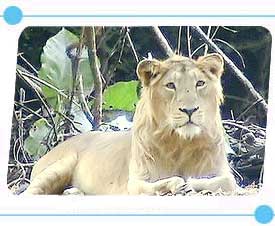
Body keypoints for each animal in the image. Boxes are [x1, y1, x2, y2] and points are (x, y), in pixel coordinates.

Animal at [23, 53, 237, 194]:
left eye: (200, 83)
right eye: (170, 85)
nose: (190, 110)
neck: (181, 143)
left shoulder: (221, 171)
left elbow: (228, 182)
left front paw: (190, 183)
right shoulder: (135, 181)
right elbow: (149, 186)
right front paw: (176, 183)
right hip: (59, 166)